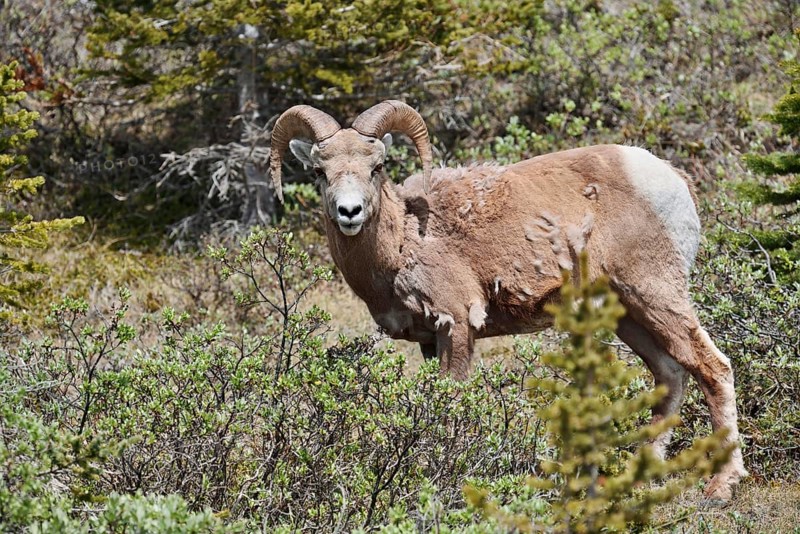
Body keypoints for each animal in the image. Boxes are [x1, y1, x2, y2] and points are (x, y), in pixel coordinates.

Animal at [268, 100, 747, 501]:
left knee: (713, 368)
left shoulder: (456, 325)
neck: (404, 240)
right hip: (628, 315)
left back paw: (721, 486)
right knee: (670, 374)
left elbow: (452, 403)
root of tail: (673, 181)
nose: (349, 213)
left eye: (377, 166)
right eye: (320, 172)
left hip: (657, 295)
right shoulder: (428, 341)